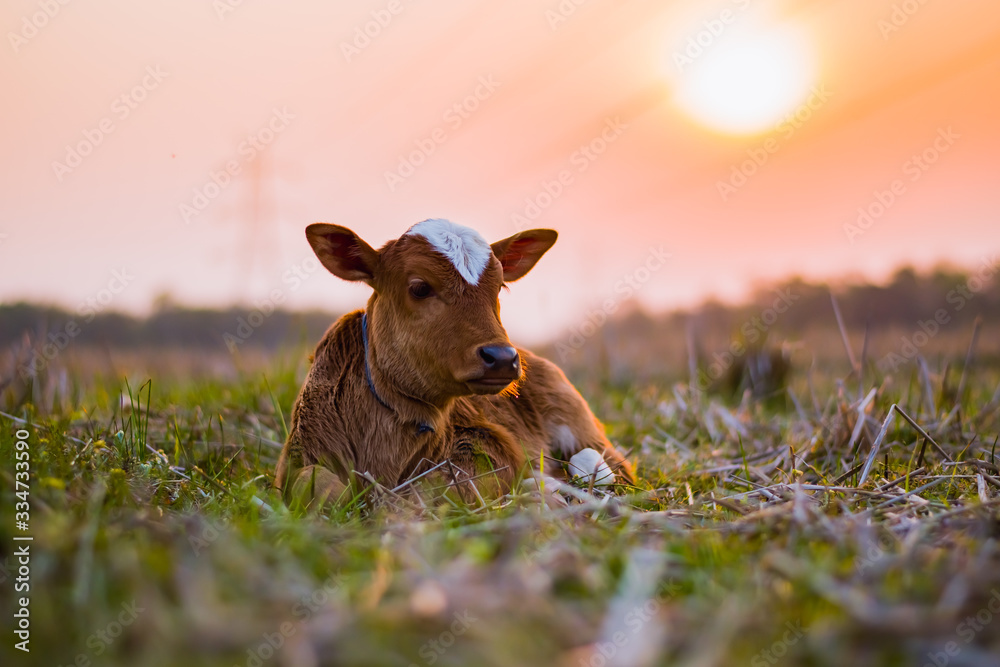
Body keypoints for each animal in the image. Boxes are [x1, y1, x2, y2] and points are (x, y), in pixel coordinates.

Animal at [276, 219, 632, 506]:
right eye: (420, 287)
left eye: (499, 286)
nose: (502, 357)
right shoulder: (297, 454)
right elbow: (316, 483)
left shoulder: (486, 442)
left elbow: (441, 486)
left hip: (577, 419)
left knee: (609, 467)